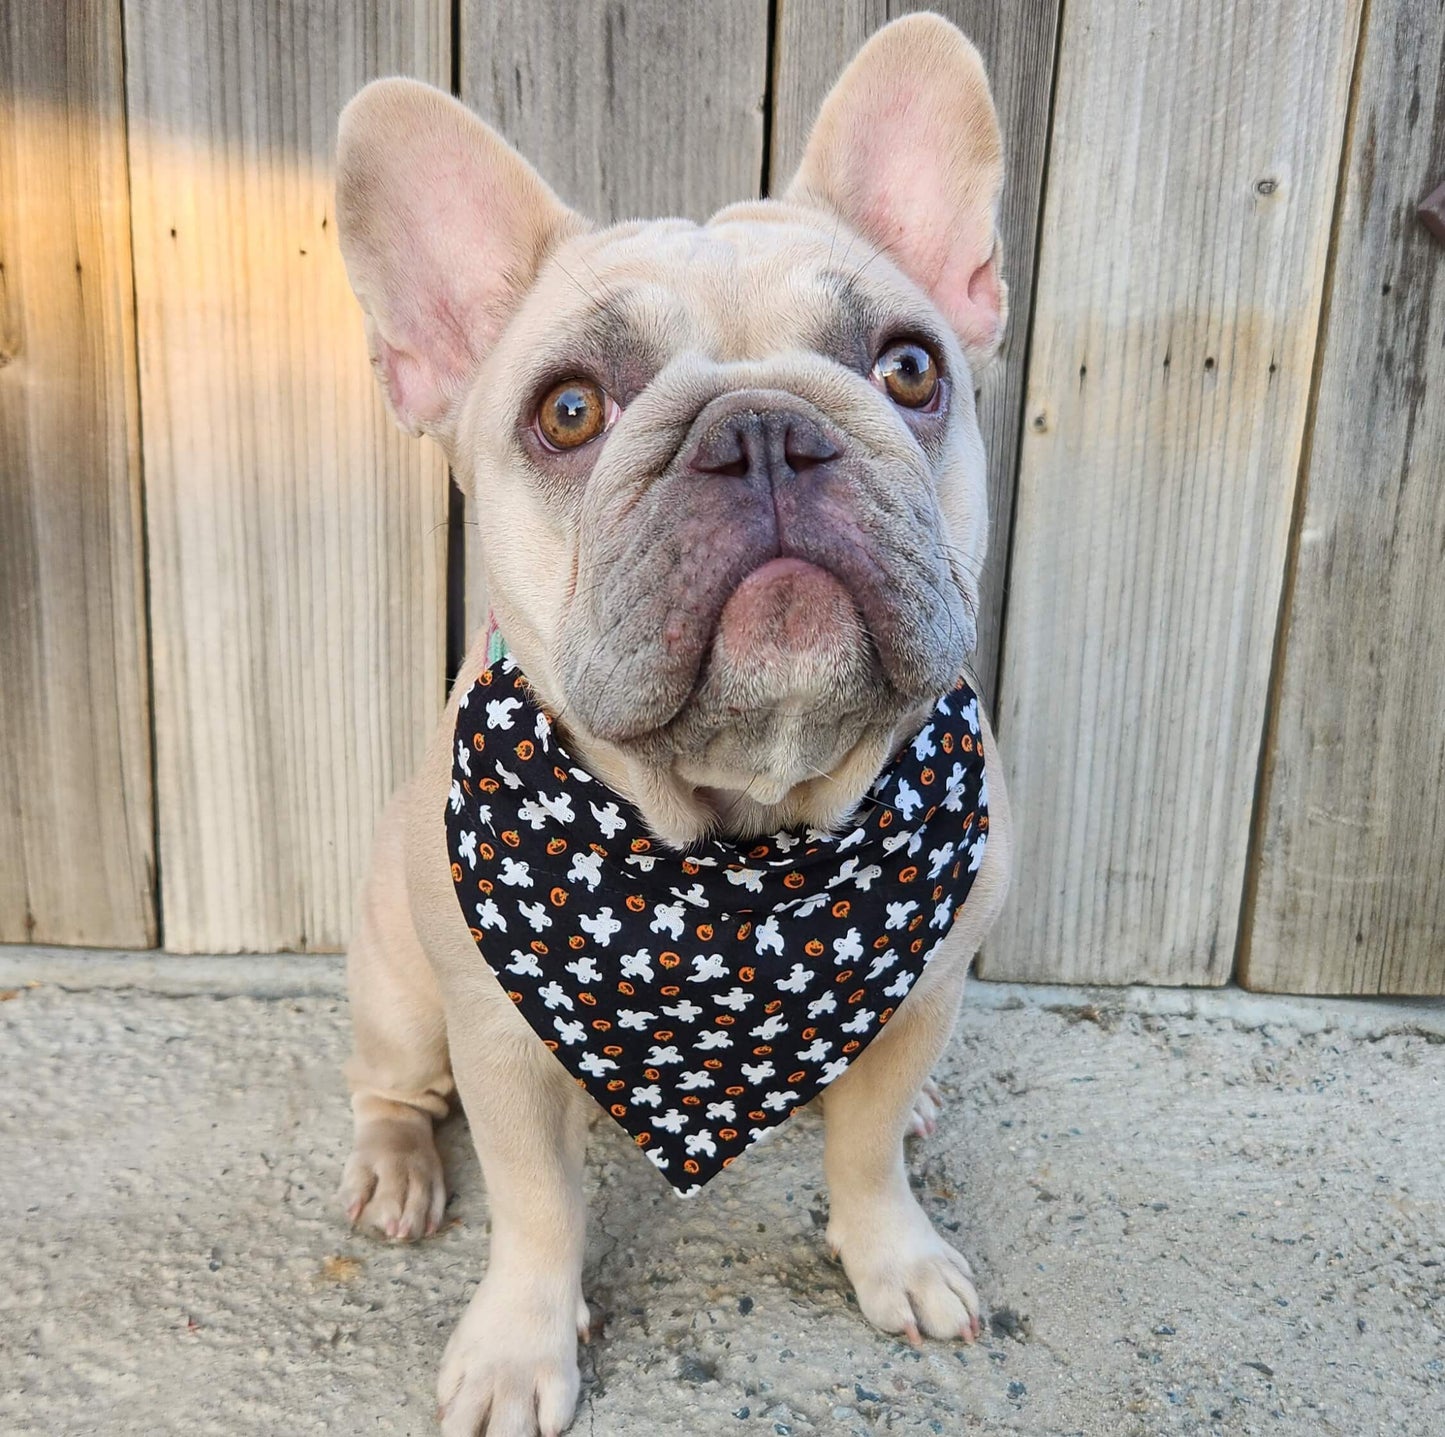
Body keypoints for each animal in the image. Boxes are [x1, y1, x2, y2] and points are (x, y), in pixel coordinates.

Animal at [335, 14, 1017, 1434]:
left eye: (908, 367)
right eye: (569, 411)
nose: (759, 430)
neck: (743, 838)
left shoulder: (927, 986)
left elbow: (866, 1156)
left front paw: (895, 1255)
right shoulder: (500, 1043)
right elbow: (536, 1210)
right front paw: (519, 1348)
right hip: (398, 988)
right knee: (388, 1084)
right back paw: (392, 1168)